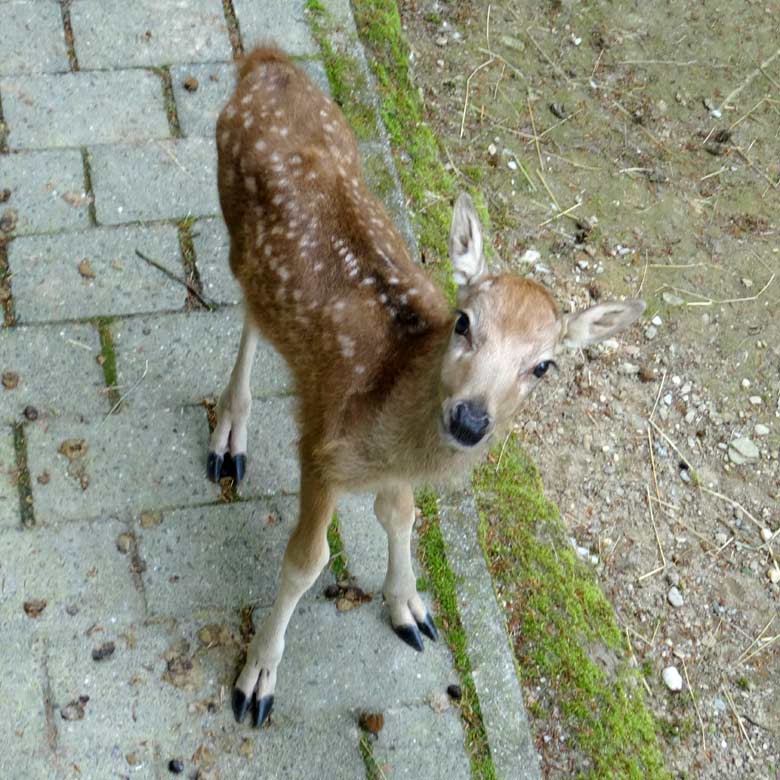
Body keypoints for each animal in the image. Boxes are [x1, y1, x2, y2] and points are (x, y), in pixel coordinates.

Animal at [207, 47, 644, 732]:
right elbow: (307, 561)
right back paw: (230, 434)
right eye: (464, 322)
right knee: (248, 313)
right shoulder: (320, 445)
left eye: (544, 366)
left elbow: (401, 513)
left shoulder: (393, 471)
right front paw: (257, 680)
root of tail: (267, 61)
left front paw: (410, 607)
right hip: (232, 221)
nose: (469, 420)